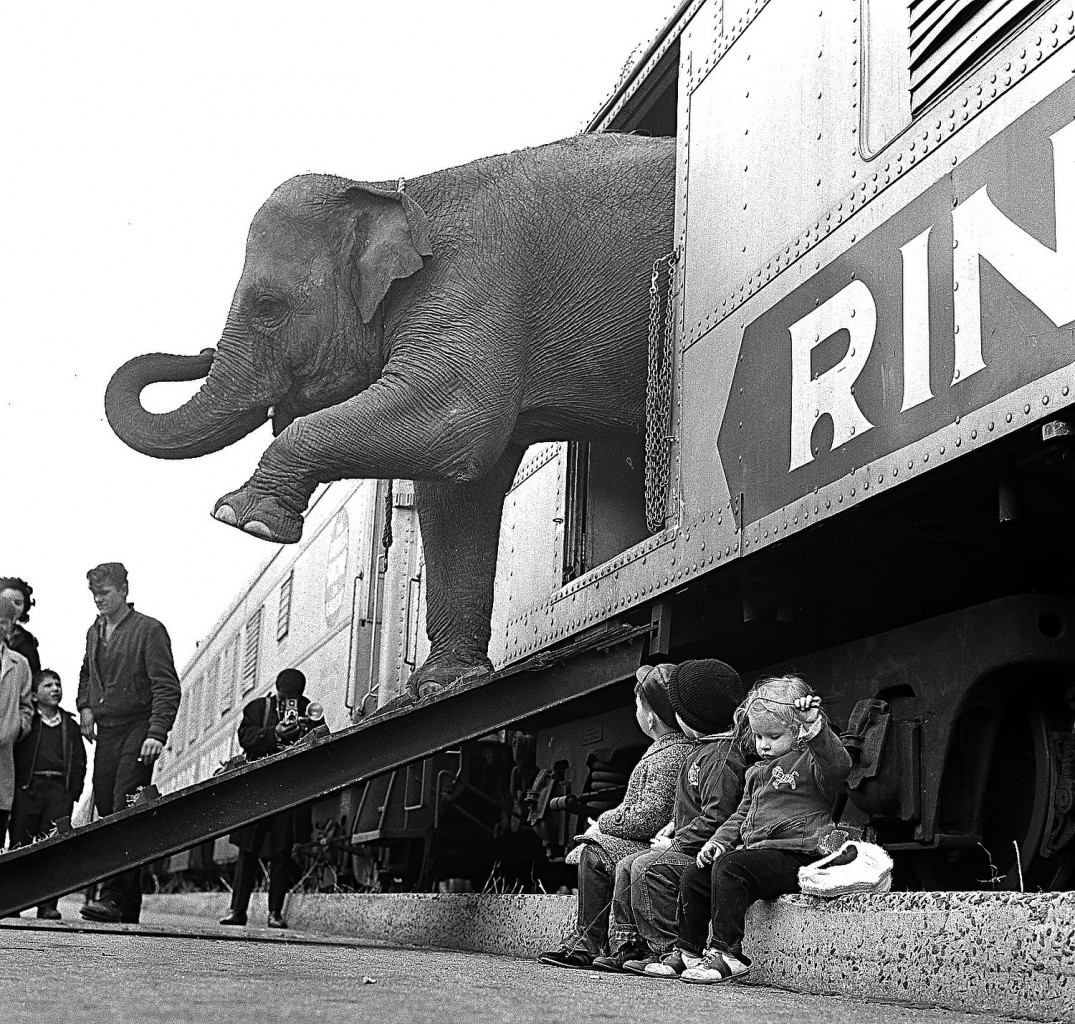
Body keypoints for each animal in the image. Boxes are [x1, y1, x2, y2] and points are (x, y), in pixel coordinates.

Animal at [111, 133, 679, 696]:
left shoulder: (477, 279)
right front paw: (443, 684)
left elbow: (454, 420)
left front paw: (245, 519)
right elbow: (459, 486)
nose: (200, 351)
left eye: (268, 307)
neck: (393, 187)